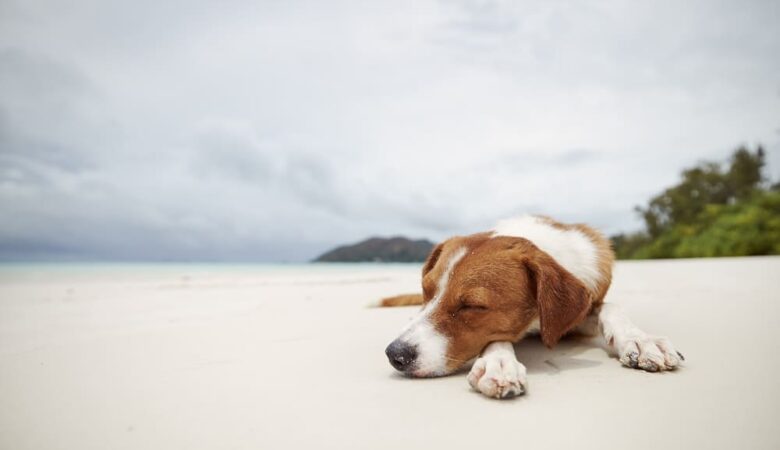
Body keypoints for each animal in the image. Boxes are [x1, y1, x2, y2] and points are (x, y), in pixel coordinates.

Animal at [382, 216, 684, 400]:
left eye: (472, 306)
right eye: (426, 290)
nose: (395, 355)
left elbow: (611, 307)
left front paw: (640, 339)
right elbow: (497, 337)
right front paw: (499, 362)